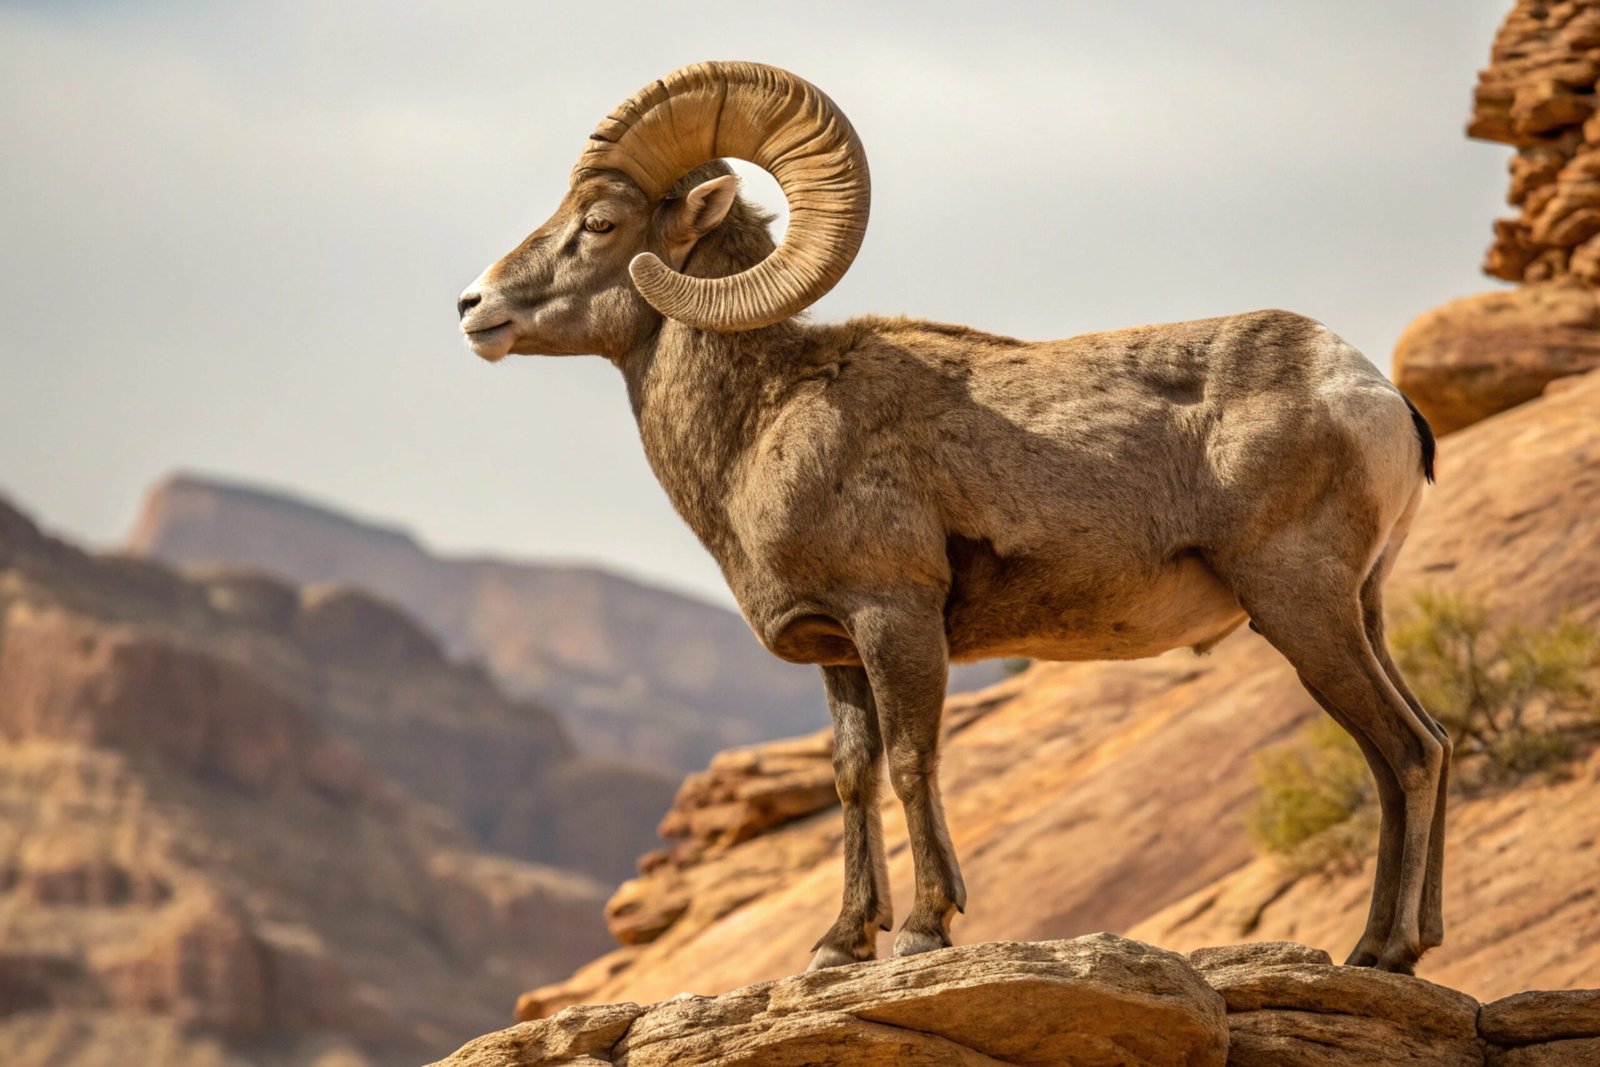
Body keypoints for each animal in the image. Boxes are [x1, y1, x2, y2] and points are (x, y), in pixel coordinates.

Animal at [457, 61, 1447, 975]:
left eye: (600, 223)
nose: (473, 307)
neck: (769, 419)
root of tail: (1372, 395)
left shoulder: (895, 619)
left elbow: (910, 763)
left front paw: (924, 930)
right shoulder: (840, 652)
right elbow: (851, 777)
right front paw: (838, 943)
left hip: (1300, 608)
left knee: (1405, 753)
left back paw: (1382, 950)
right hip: (1358, 612)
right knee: (1421, 745)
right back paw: (1401, 945)